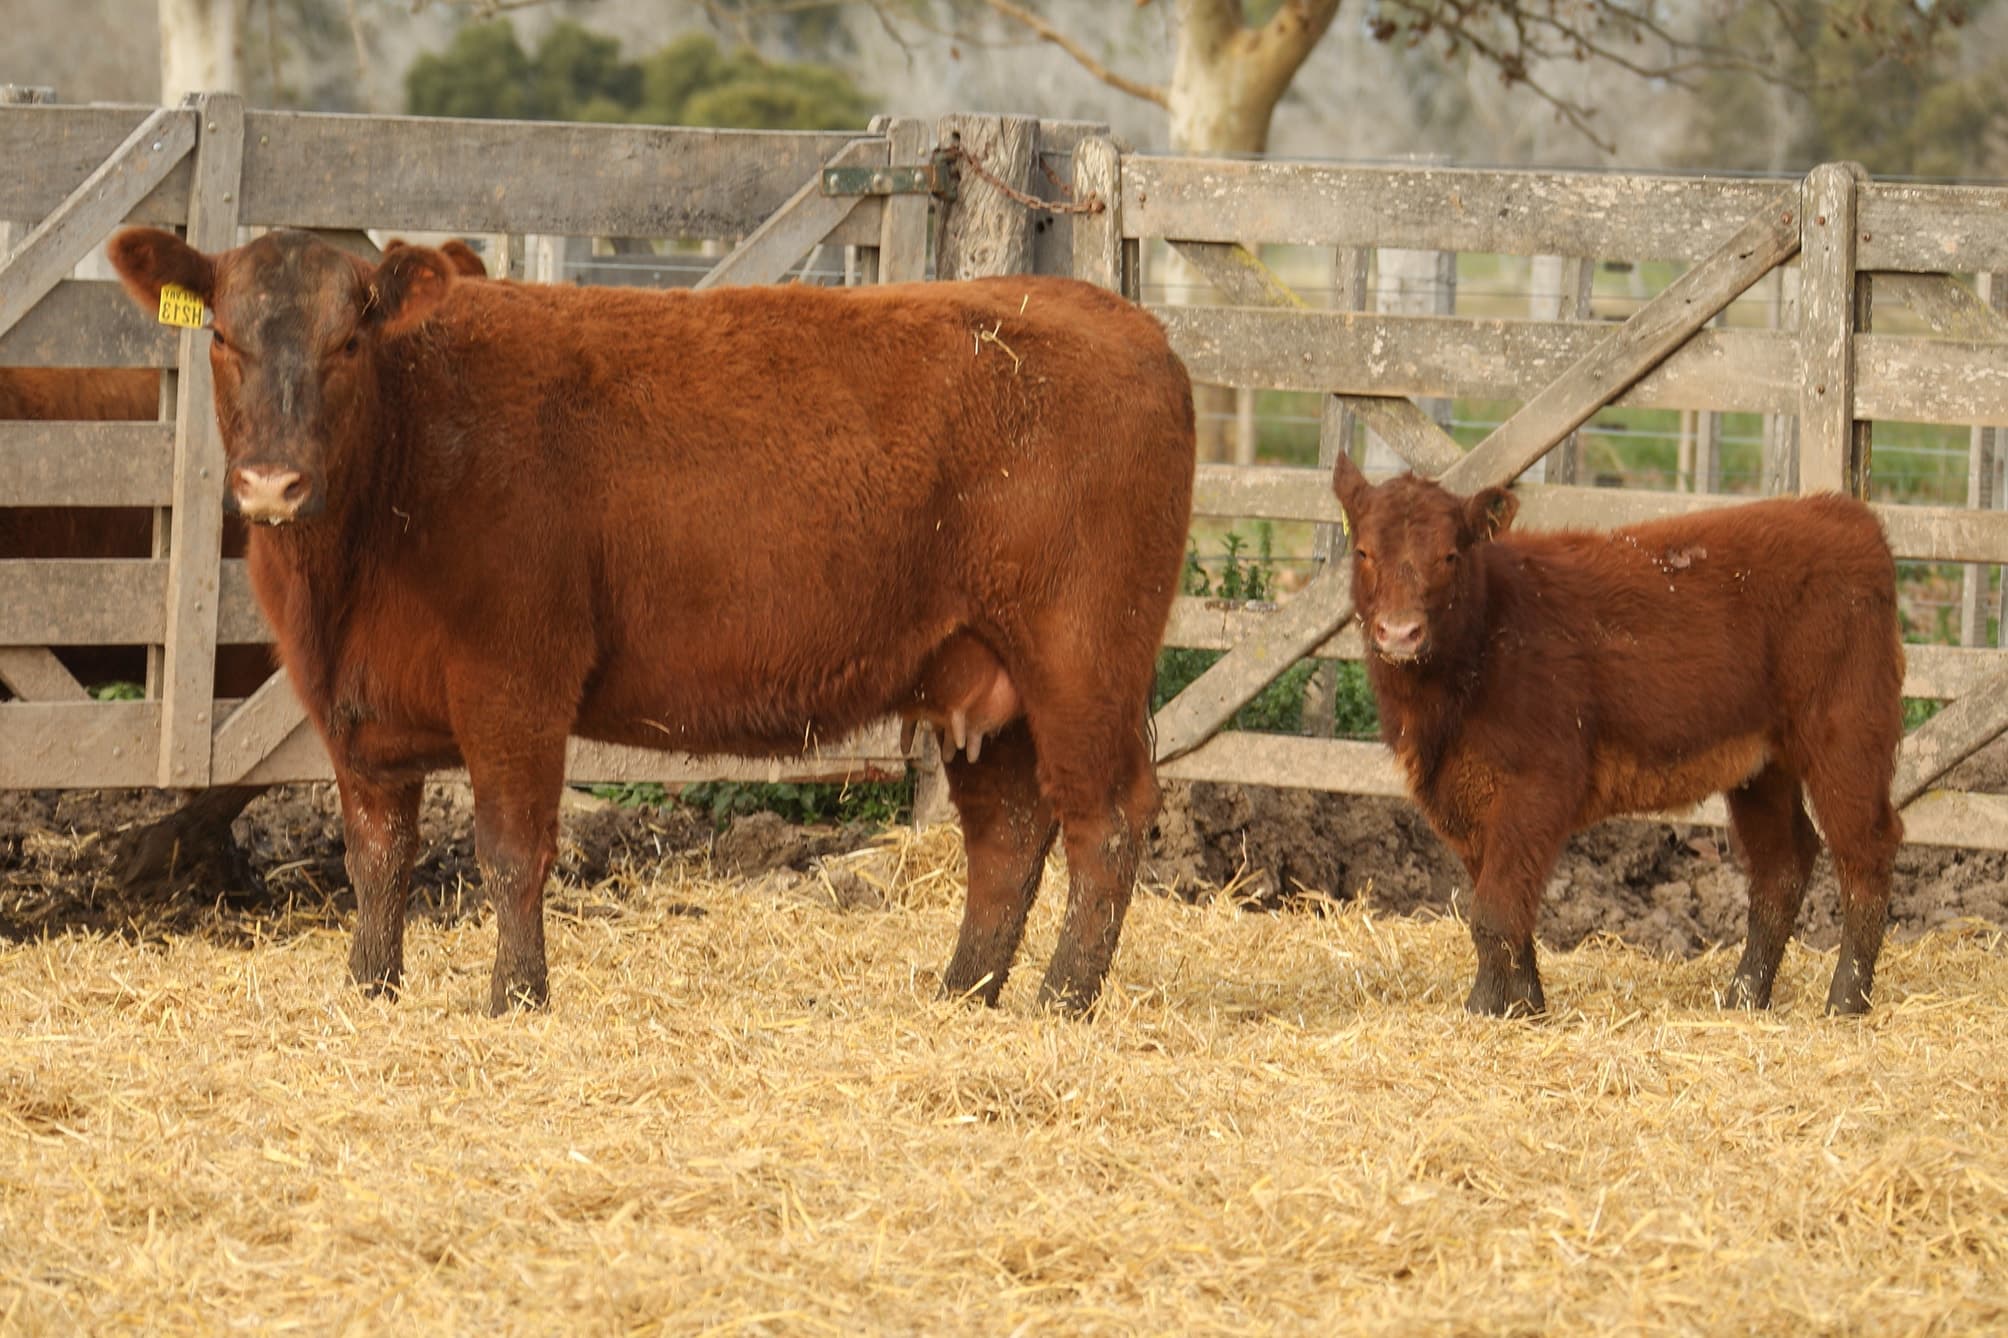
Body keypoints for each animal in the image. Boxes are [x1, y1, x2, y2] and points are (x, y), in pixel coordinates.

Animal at [107, 226, 1195, 1016]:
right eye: (221, 338)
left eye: (347, 343)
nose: (271, 483)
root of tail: (1118, 317)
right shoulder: (356, 710)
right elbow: (375, 858)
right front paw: (368, 991)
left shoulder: (516, 681)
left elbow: (511, 850)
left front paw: (514, 1000)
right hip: (985, 675)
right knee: (1008, 833)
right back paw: (962, 994)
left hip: (1081, 653)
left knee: (1108, 818)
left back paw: (1060, 1001)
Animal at [1330, 452, 1905, 1018]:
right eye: (1362, 551)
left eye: (1450, 555)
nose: (1400, 632)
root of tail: (1840, 512)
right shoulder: (1467, 798)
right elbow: (1511, 911)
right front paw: (1527, 1007)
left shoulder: (1537, 785)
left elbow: (1493, 914)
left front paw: (1483, 1010)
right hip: (1762, 766)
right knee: (1783, 865)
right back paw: (1743, 998)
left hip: (1848, 734)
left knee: (1865, 850)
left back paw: (1845, 1001)